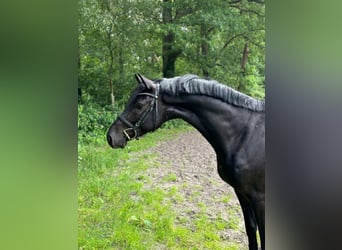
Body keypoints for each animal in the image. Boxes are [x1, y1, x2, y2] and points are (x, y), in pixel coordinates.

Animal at [106, 73, 264, 249]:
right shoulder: (241, 192)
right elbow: (251, 230)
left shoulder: (259, 198)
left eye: (139, 105)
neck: (244, 135)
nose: (111, 137)